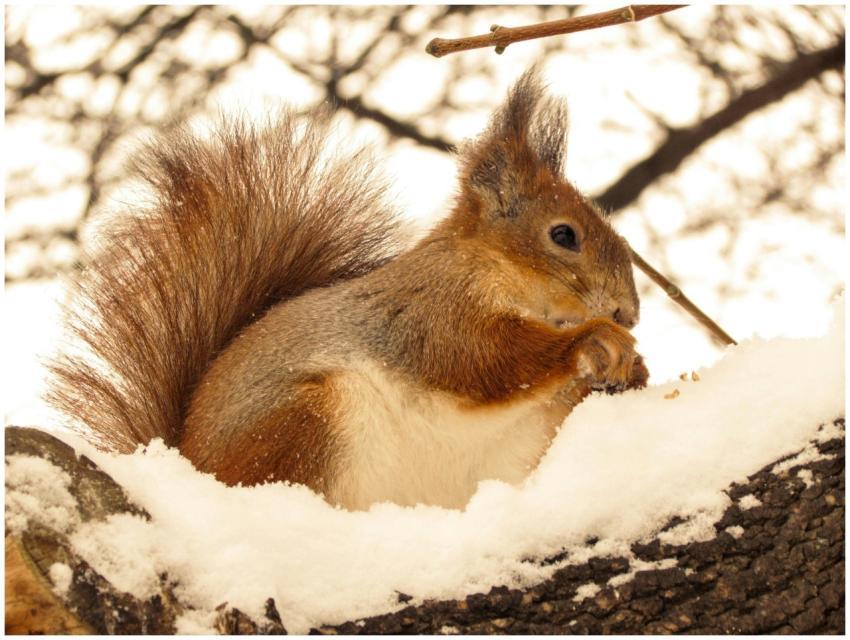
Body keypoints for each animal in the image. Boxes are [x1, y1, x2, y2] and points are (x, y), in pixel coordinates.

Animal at [49, 68, 648, 510]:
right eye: (564, 235)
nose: (629, 311)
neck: (493, 268)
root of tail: (188, 464)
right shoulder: (434, 311)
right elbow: (485, 358)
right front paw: (595, 340)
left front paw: (633, 371)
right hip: (307, 421)